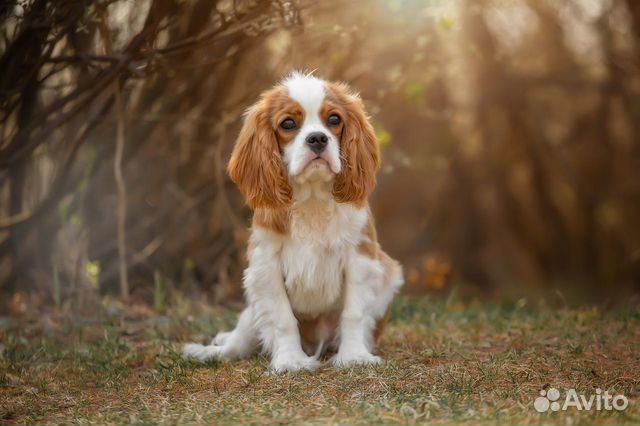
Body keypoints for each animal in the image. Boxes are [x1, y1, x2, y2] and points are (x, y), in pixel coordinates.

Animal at [180, 71, 402, 372]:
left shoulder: (360, 258)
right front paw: (290, 361)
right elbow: (283, 319)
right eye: (288, 124)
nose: (318, 138)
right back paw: (207, 352)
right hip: (252, 308)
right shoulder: (265, 266)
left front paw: (354, 356)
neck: (312, 198)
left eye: (334, 120)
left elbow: (353, 313)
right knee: (238, 342)